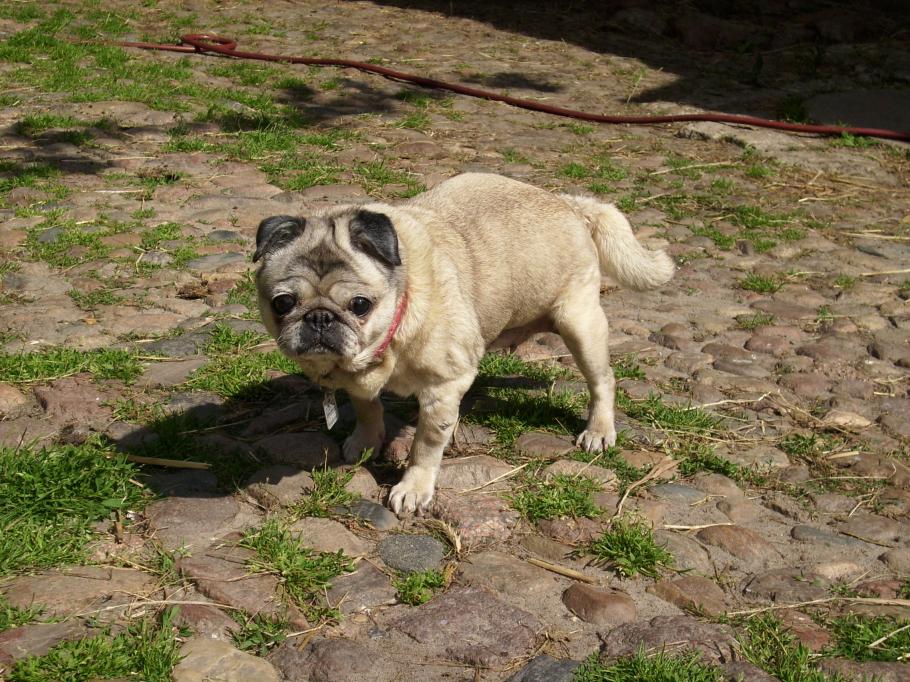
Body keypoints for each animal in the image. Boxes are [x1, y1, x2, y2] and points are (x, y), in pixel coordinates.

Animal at [254, 173, 674, 514]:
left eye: (360, 305)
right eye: (282, 303)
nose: (319, 318)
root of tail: (571, 204)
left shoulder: (443, 385)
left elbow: (425, 445)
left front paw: (413, 487)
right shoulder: (360, 382)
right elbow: (368, 408)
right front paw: (367, 441)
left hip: (580, 324)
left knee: (602, 380)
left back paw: (599, 430)